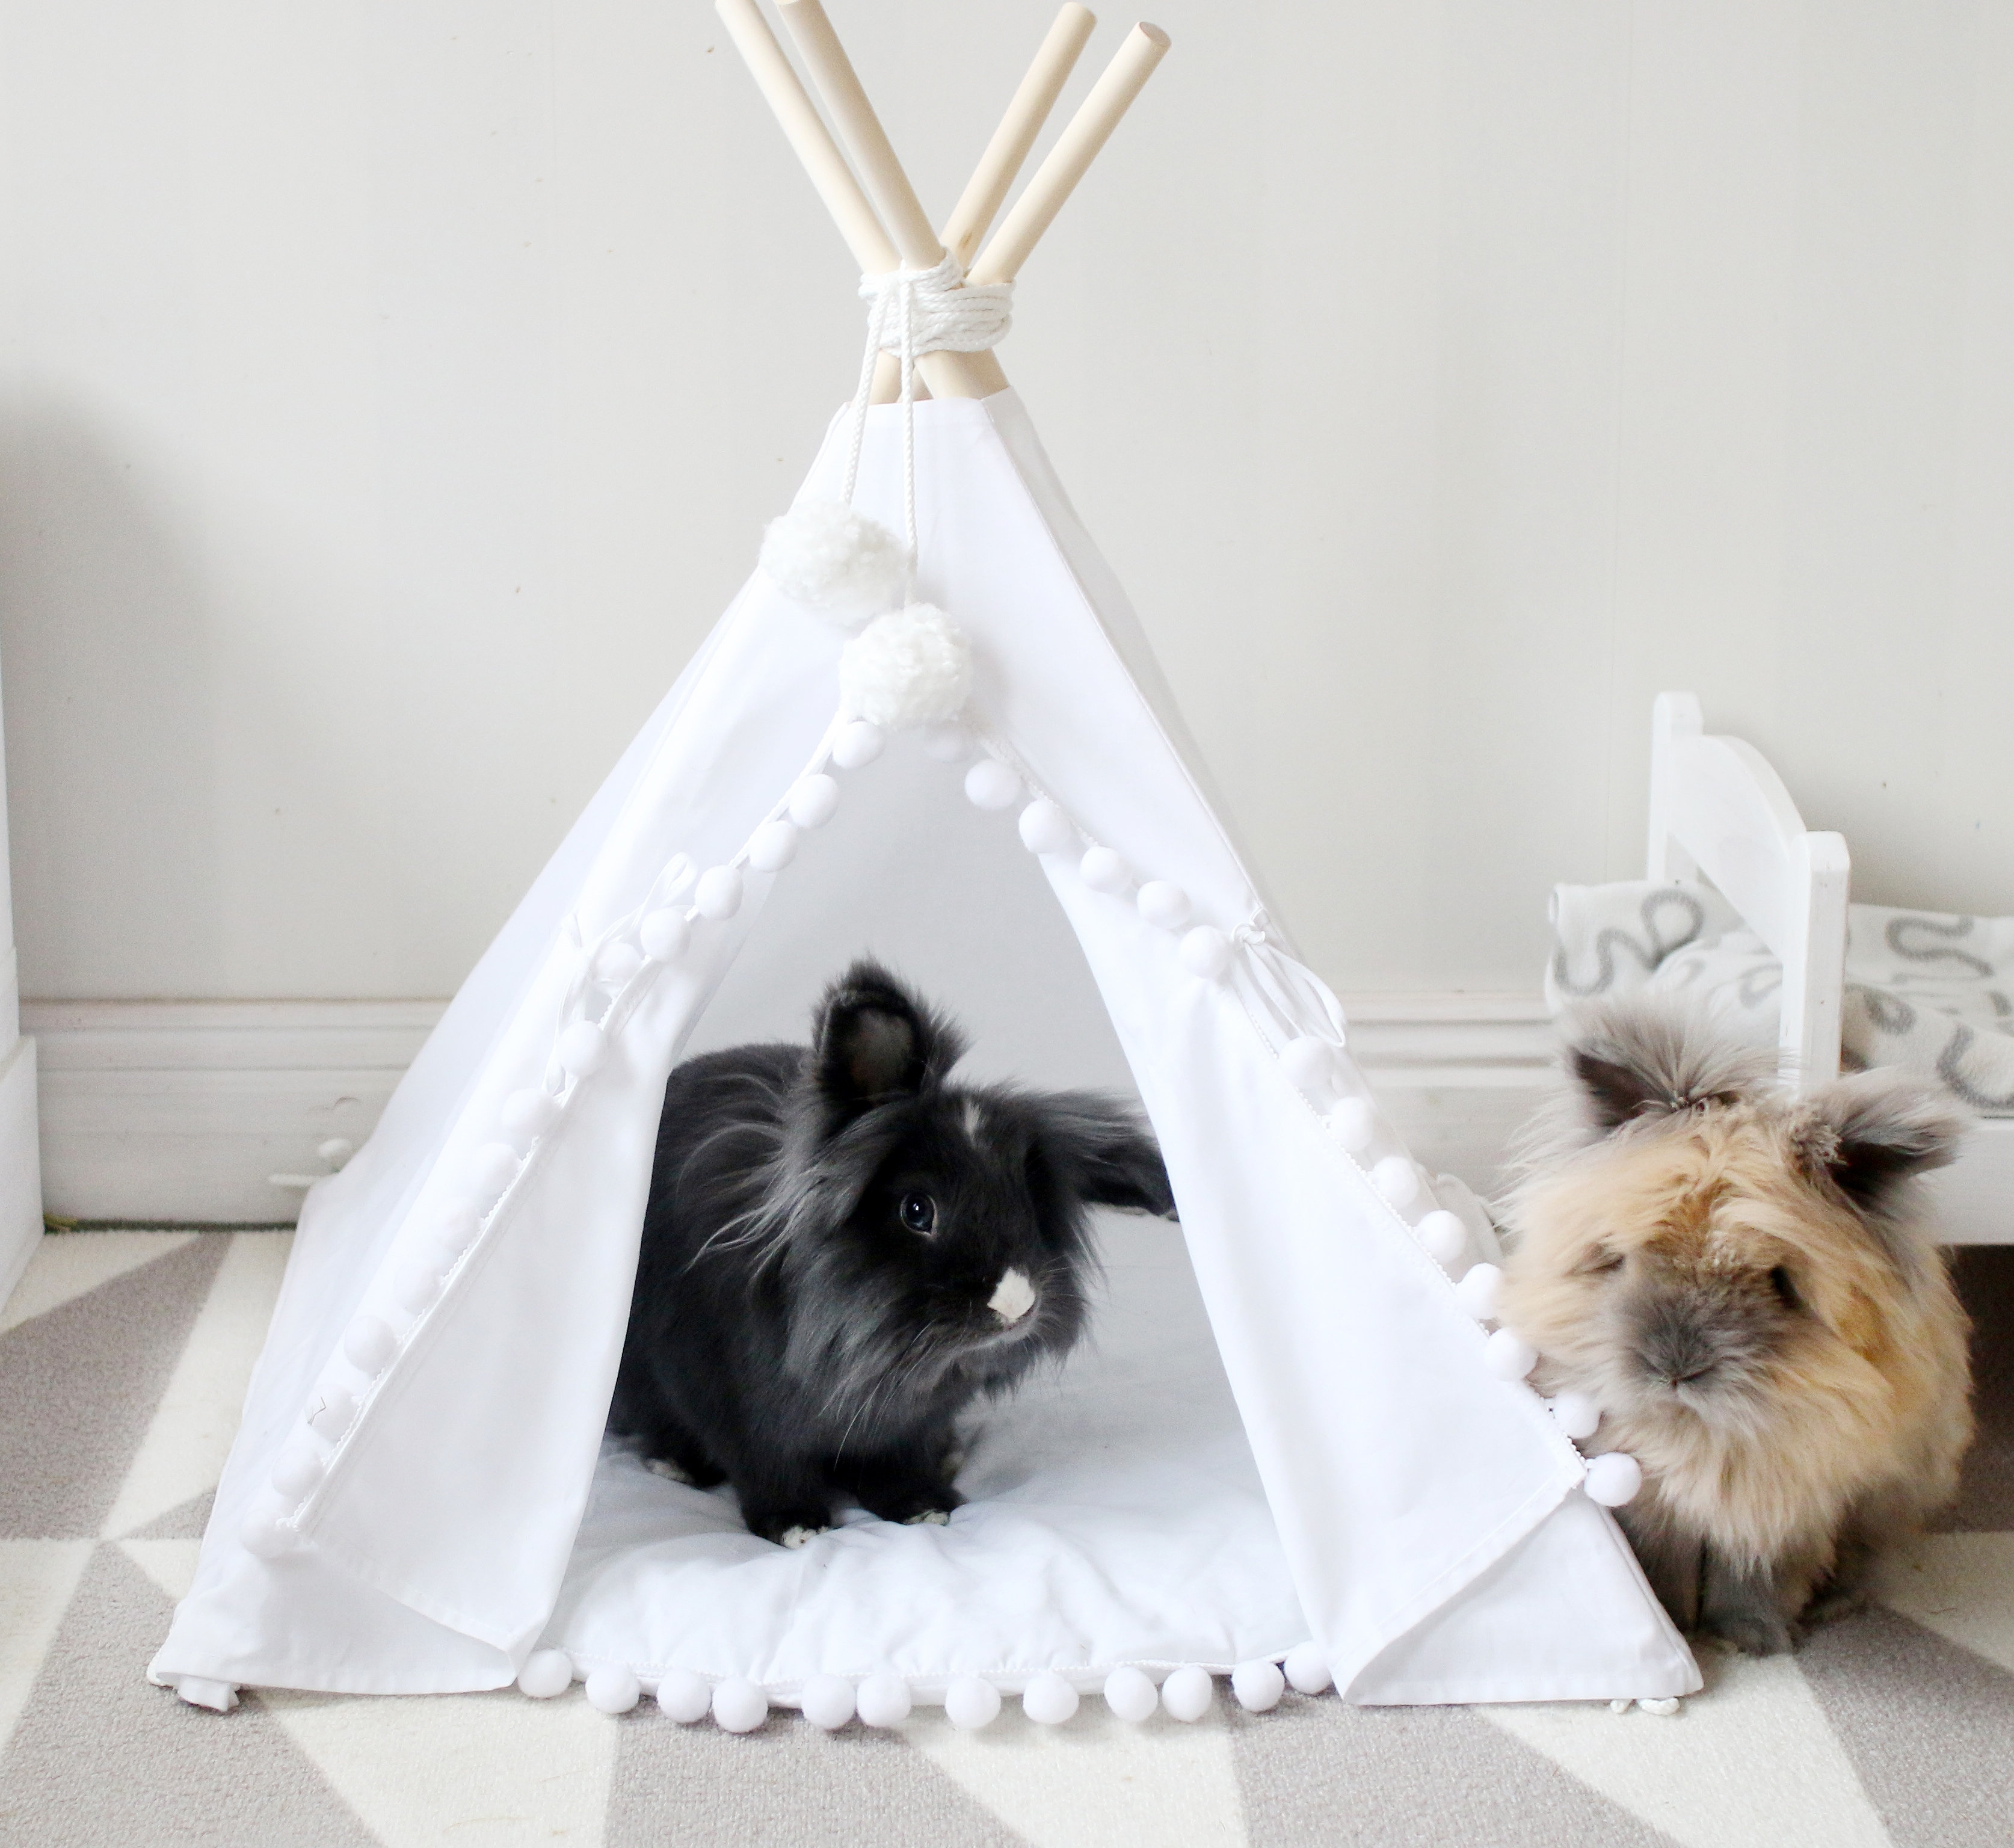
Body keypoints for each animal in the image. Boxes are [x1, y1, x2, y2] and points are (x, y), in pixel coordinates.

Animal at [608, 956, 1177, 1546]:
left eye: (1028, 1198)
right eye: (917, 1210)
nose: (1017, 1303)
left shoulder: (907, 1429)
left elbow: (895, 1467)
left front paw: (924, 1508)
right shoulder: (736, 1410)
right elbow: (769, 1470)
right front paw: (798, 1527)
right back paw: (677, 1465)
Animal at [1496, 996, 1974, 1655]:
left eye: (1779, 1283)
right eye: (1624, 1258)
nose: (1675, 1368)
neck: (1701, 1432)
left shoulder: (1785, 1511)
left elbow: (1756, 1578)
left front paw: (1754, 1640)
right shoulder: (1652, 1503)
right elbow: (1665, 1563)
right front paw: (1676, 1624)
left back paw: (1837, 1603)